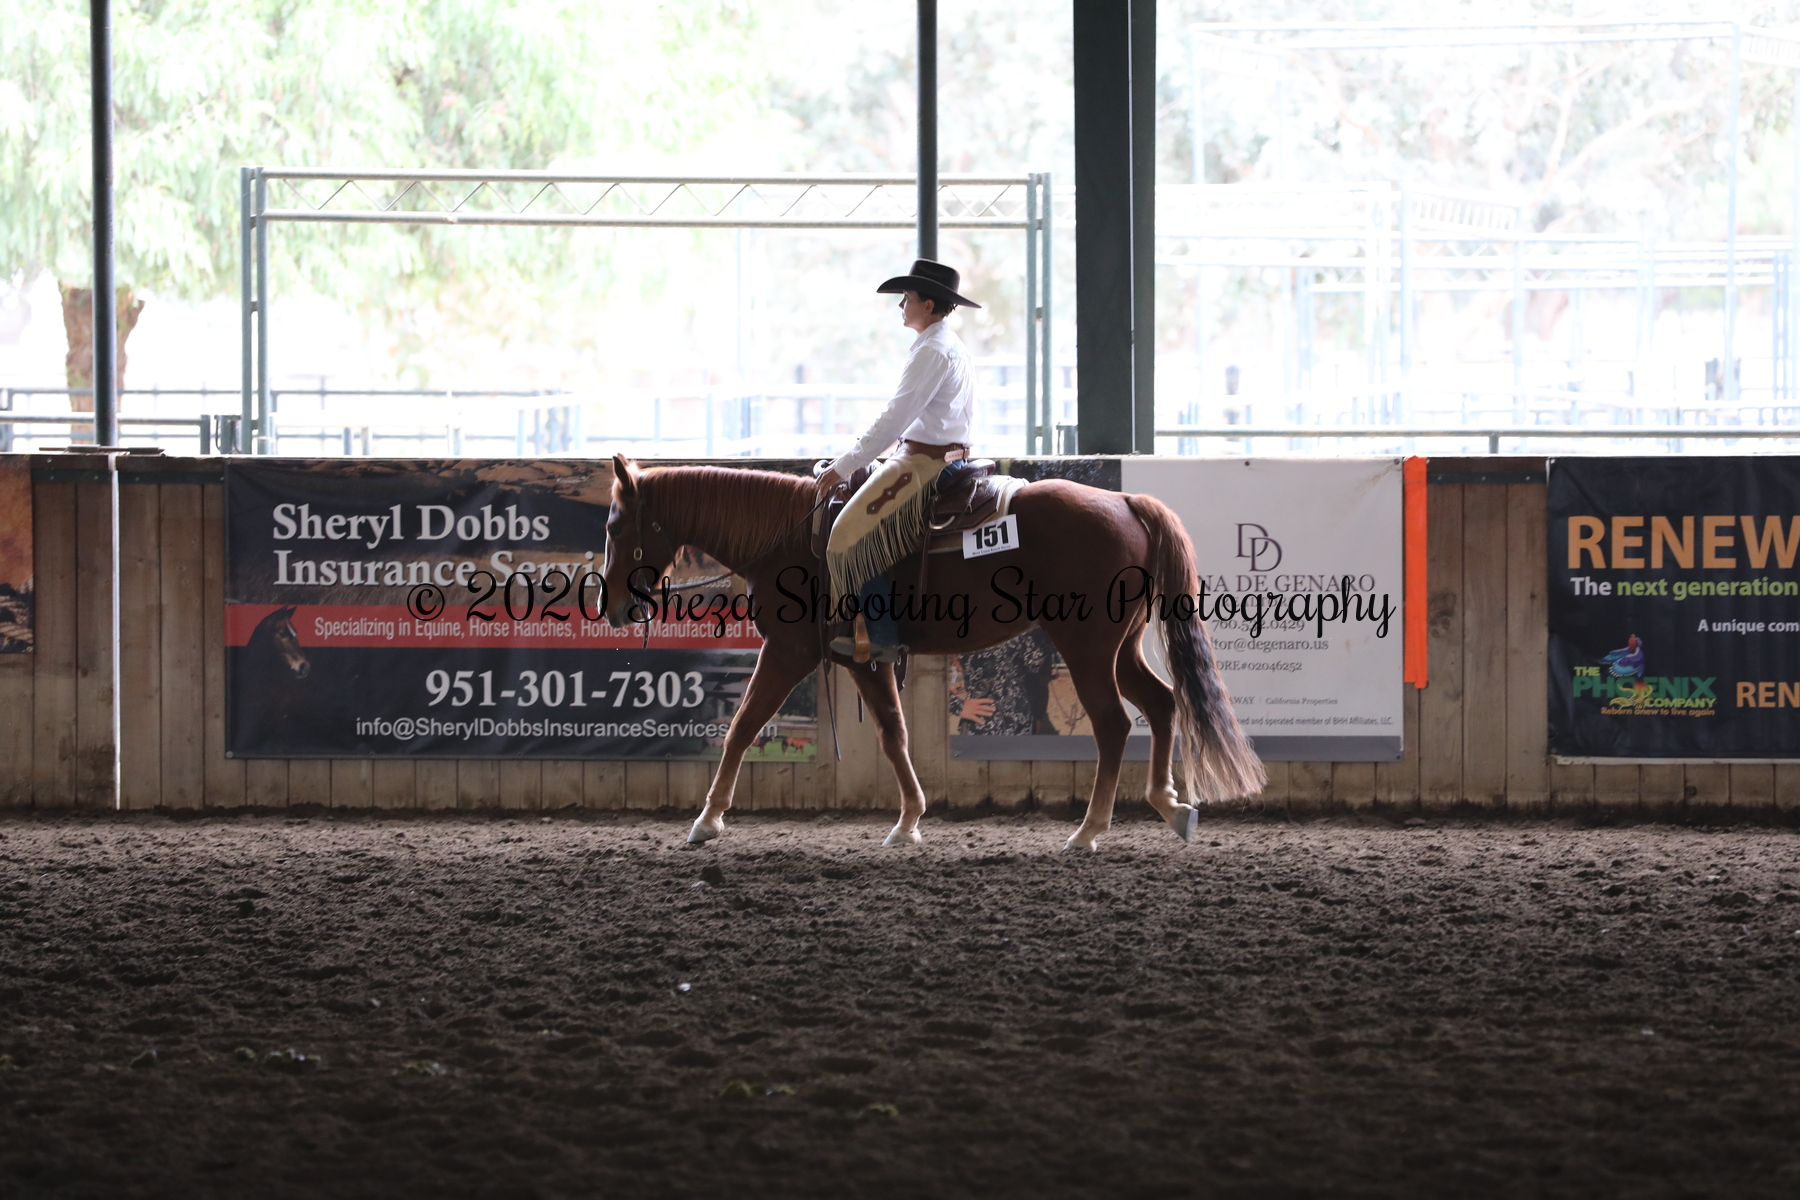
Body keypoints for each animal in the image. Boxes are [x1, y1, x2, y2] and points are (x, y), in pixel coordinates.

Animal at [599, 454, 1264, 851]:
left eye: (613, 527)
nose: (614, 607)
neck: (790, 540)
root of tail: (1125, 503)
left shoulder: (789, 651)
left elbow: (742, 724)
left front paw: (707, 820)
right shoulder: (861, 657)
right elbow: (893, 733)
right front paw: (909, 821)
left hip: (1087, 647)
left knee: (1112, 723)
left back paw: (1089, 831)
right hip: (1120, 646)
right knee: (1162, 703)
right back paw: (1170, 806)